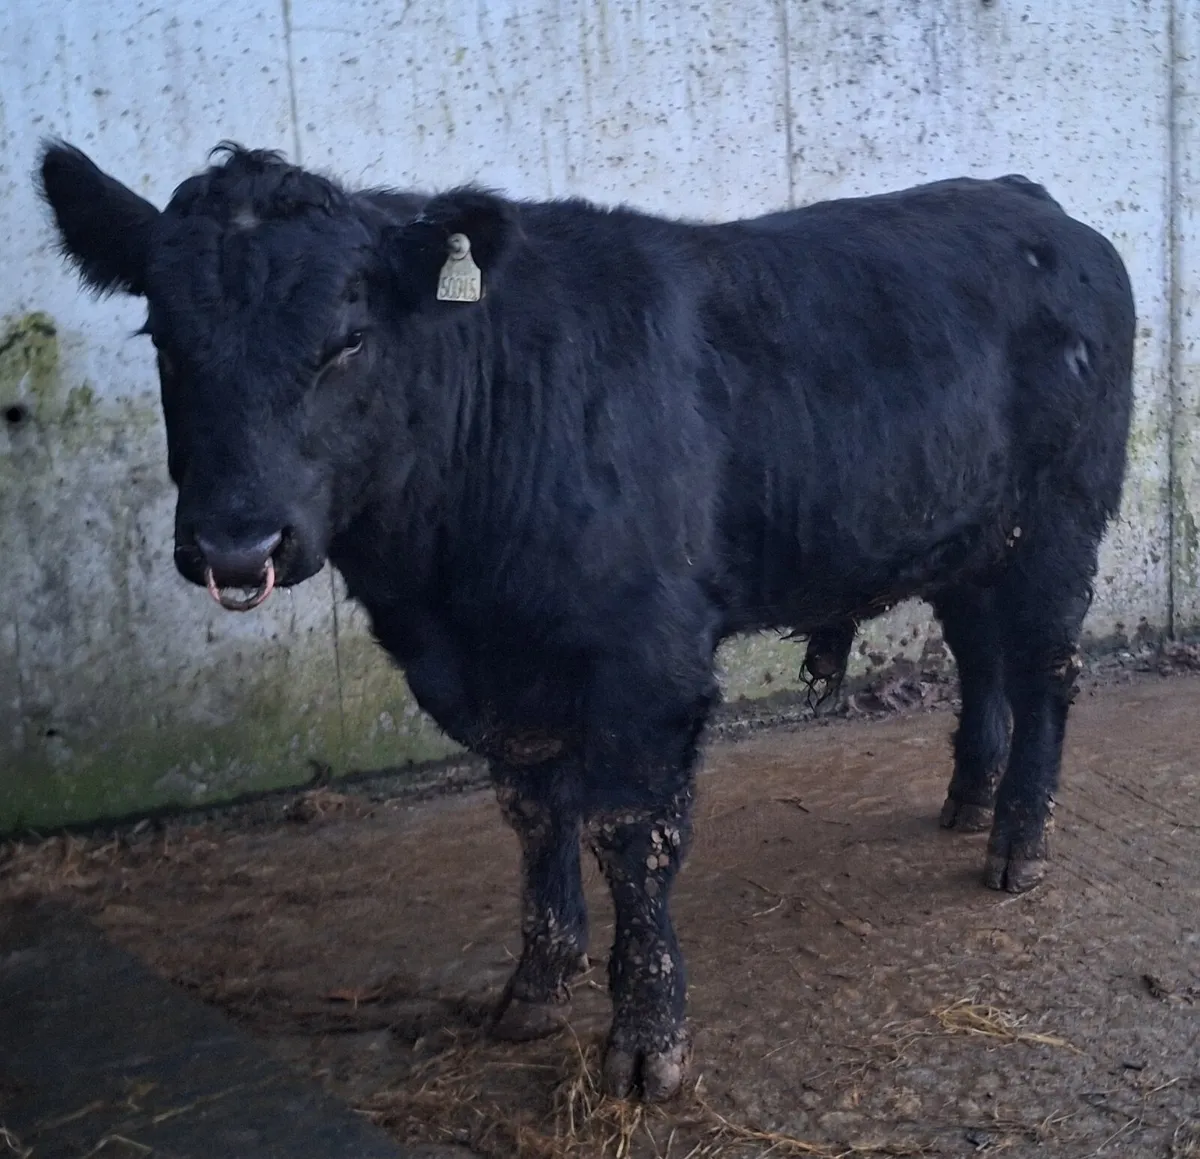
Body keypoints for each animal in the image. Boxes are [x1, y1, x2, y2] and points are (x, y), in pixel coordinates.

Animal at [38, 141, 1134, 1102]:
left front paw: (647, 1042)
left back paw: (1017, 842)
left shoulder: (648, 664)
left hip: (1060, 521)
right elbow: (533, 814)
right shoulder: (499, 674)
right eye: (164, 340)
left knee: (1047, 669)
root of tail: (1031, 201)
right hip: (967, 530)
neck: (445, 588)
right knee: (980, 652)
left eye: (348, 338)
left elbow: (629, 837)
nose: (235, 545)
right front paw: (535, 985)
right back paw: (969, 798)